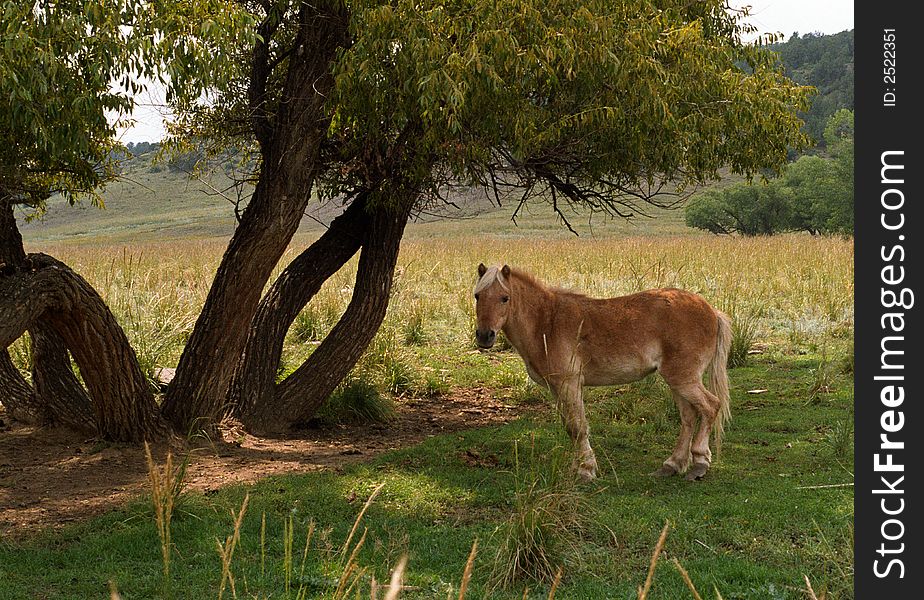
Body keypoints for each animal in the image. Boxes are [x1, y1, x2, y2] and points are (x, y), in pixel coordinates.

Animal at [476, 264, 728, 480]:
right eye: (478, 296)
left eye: (504, 298)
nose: (484, 336)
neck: (547, 322)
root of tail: (711, 311)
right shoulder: (557, 389)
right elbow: (570, 428)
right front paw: (578, 467)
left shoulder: (570, 384)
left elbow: (578, 428)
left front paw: (586, 471)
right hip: (677, 381)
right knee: (689, 417)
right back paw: (672, 465)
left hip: (684, 379)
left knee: (710, 407)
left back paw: (699, 465)